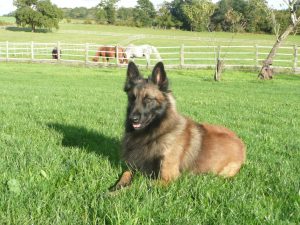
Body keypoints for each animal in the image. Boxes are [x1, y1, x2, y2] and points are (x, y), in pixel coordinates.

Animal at [110, 61, 246, 190]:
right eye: (132, 98)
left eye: (148, 99)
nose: (133, 119)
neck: (156, 134)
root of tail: (241, 144)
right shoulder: (133, 166)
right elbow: (125, 175)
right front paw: (114, 188)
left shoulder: (167, 178)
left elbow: (138, 186)